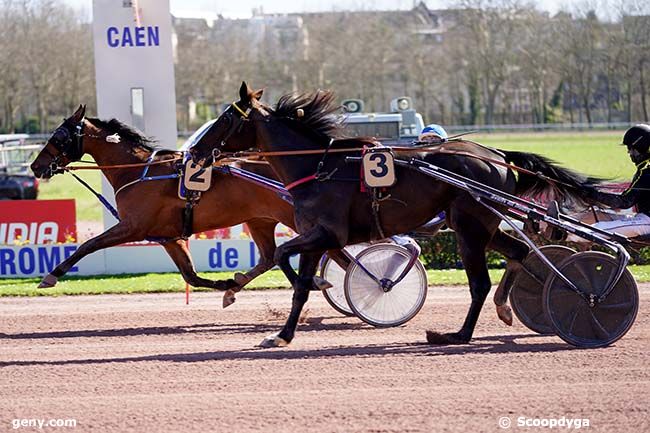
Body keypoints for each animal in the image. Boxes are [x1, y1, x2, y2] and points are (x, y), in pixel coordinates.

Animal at [27, 104, 296, 300]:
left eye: (59, 135)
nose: (35, 166)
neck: (136, 170)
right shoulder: (170, 237)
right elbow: (190, 276)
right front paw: (227, 283)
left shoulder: (133, 226)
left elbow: (88, 245)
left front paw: (51, 275)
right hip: (260, 220)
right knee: (269, 257)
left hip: (288, 215)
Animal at [187, 82, 604, 348]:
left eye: (224, 119)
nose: (193, 152)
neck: (319, 167)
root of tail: (498, 155)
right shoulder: (314, 235)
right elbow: (298, 283)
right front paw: (283, 333)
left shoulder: (327, 233)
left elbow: (283, 254)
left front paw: (317, 290)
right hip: (478, 223)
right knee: (518, 252)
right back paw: (504, 308)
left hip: (470, 227)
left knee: (480, 283)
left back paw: (458, 335)